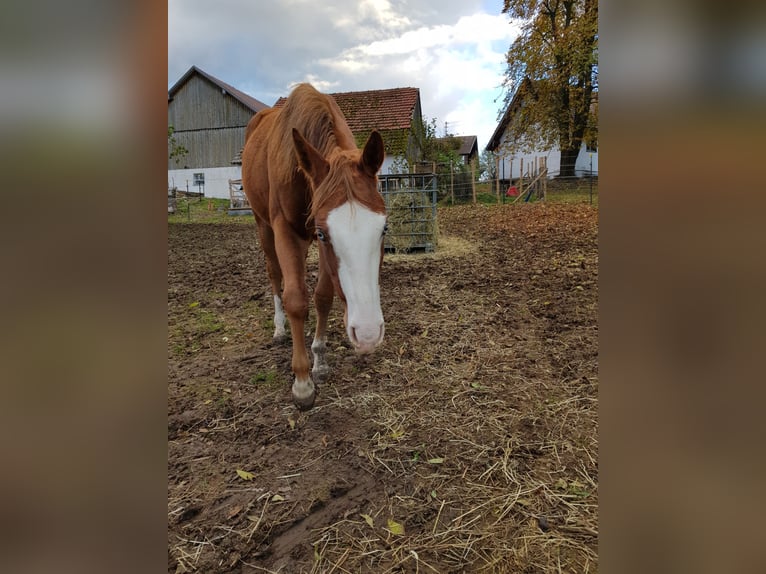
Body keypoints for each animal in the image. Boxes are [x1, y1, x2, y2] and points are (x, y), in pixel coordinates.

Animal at [242, 83, 388, 412]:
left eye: (384, 229)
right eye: (323, 233)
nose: (368, 333)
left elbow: (322, 297)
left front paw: (319, 360)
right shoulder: (288, 231)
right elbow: (296, 299)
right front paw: (302, 381)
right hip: (262, 224)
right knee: (274, 275)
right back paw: (279, 328)